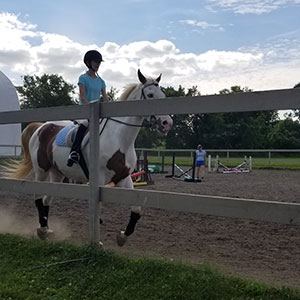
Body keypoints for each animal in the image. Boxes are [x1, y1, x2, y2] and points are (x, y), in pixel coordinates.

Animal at [3, 69, 173, 246]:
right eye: (151, 95)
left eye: (163, 95)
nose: (167, 123)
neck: (119, 138)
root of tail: (41, 127)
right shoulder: (99, 179)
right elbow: (98, 208)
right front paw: (97, 242)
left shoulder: (123, 177)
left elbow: (136, 208)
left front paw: (122, 236)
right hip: (41, 170)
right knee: (38, 198)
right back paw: (42, 230)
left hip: (57, 174)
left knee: (46, 200)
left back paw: (46, 229)